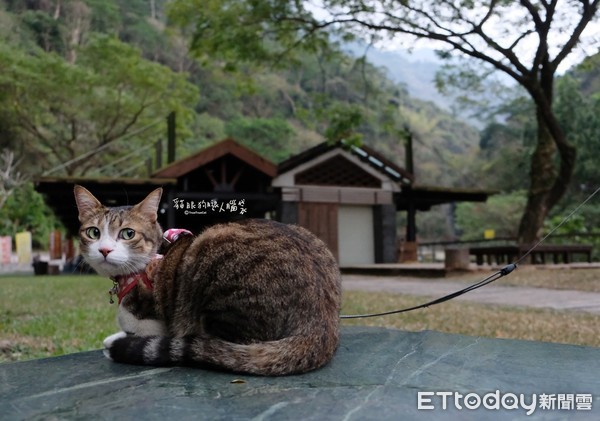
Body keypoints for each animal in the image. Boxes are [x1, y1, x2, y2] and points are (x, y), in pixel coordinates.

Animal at [74, 185, 342, 376]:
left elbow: (137, 328)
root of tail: (320, 322)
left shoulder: (157, 322)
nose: (104, 250)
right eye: (93, 232)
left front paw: (118, 338)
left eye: (128, 234)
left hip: (212, 253)